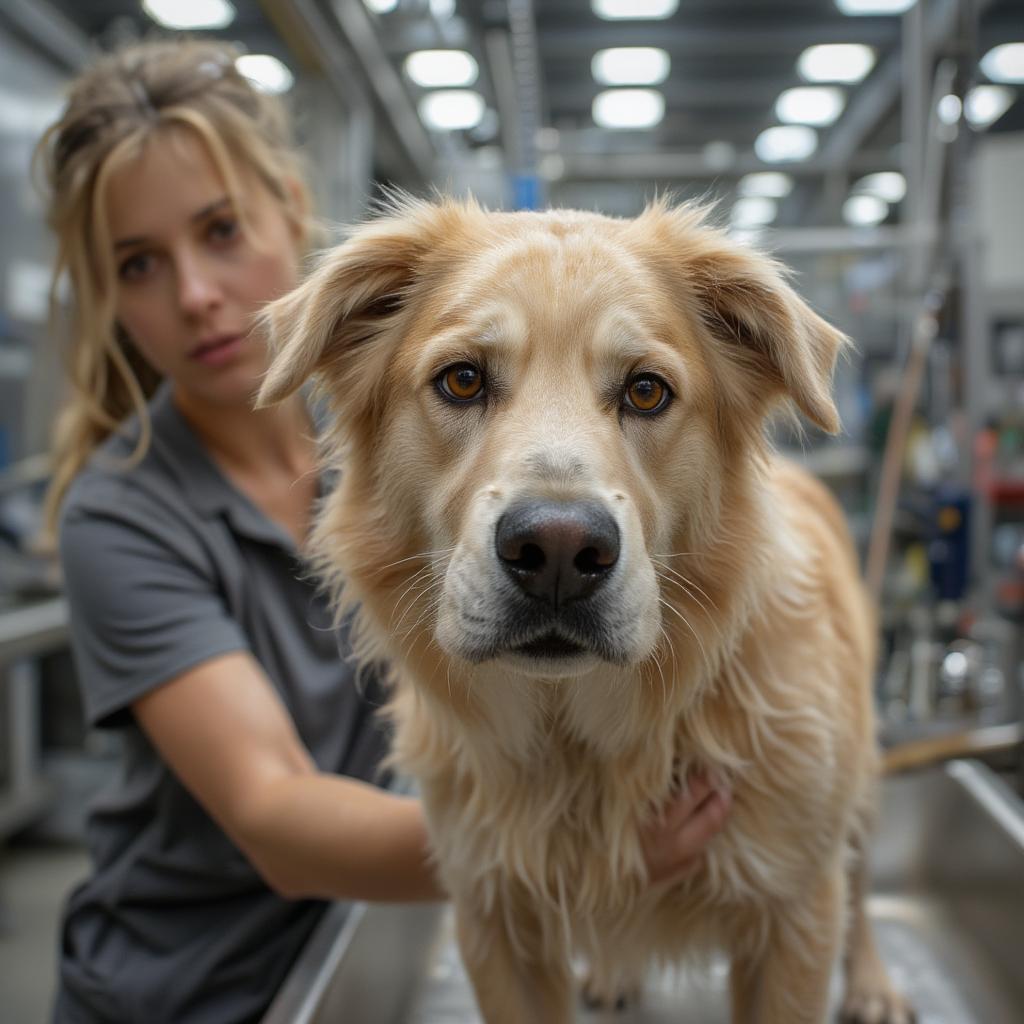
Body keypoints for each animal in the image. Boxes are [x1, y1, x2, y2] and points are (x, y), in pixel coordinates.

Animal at [260, 195, 917, 1019]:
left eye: (646, 390)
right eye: (462, 380)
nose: (558, 552)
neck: (578, 749)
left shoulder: (793, 912)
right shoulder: (494, 919)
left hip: (856, 790)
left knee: (860, 887)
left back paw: (873, 982)